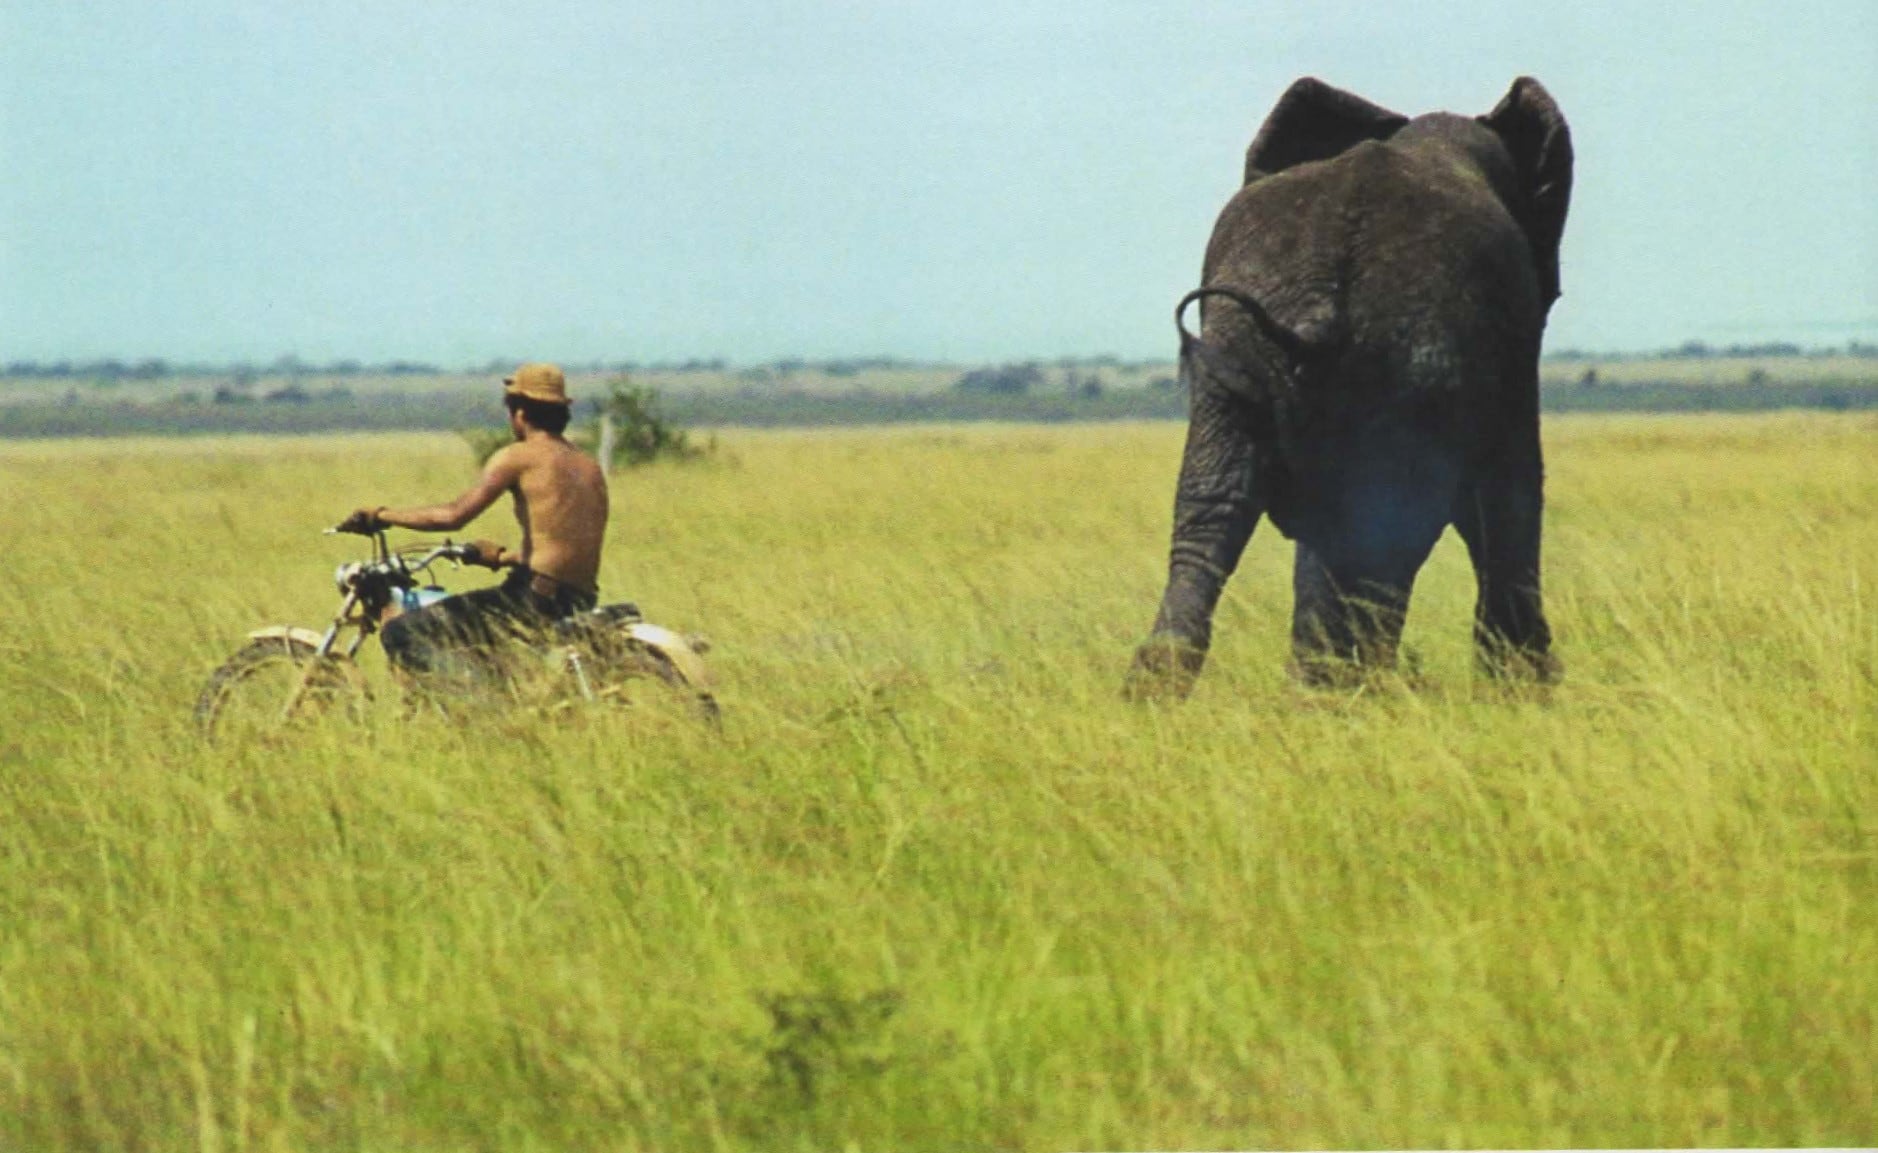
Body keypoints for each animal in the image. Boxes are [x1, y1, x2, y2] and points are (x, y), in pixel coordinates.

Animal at [1119, 78, 1577, 706]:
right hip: (1404, 366)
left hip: (1239, 352)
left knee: (1213, 505)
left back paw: (1171, 691)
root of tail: (1325, 292)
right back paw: (1356, 689)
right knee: (1389, 530)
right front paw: (1527, 690)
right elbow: (1511, 486)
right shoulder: (1510, 332)